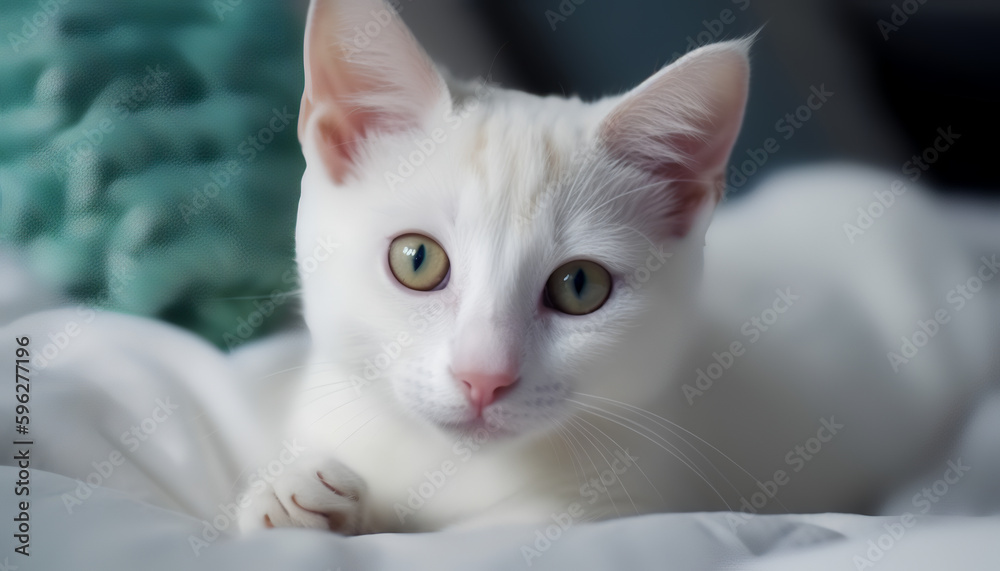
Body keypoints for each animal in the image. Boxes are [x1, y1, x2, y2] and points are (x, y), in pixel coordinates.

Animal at [238, 0, 996, 536]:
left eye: (579, 286)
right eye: (417, 259)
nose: (484, 376)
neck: (439, 462)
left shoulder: (615, 503)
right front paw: (293, 493)